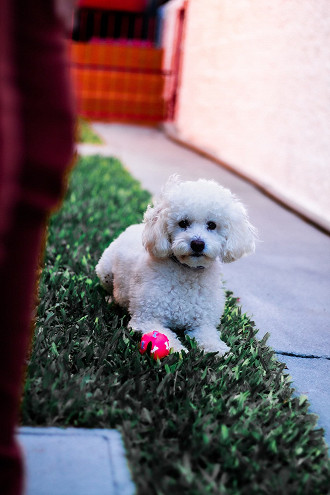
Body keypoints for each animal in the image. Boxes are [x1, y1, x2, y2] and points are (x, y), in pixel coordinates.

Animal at [94, 176, 256, 354]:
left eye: (212, 225)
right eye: (183, 223)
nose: (197, 244)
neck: (188, 272)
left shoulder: (204, 324)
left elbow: (210, 338)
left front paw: (220, 351)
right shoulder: (147, 318)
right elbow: (167, 339)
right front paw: (178, 351)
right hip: (105, 270)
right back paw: (111, 298)